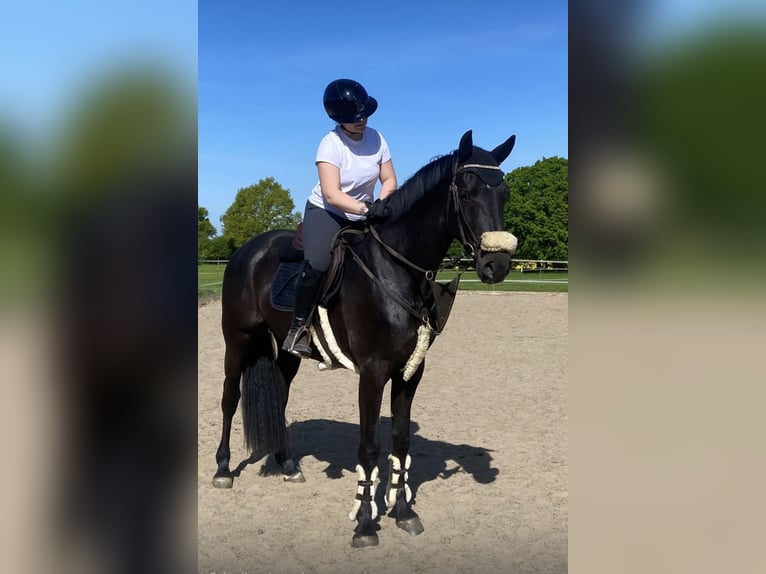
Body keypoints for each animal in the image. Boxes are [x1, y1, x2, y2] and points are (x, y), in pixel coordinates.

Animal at [212, 130, 518, 548]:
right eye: (468, 192)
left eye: (504, 193)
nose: (496, 265)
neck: (394, 270)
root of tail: (248, 250)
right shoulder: (372, 373)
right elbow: (370, 446)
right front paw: (364, 521)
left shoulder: (410, 372)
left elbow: (401, 441)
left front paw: (403, 511)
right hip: (237, 340)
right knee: (230, 398)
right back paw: (223, 469)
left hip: (286, 354)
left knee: (280, 398)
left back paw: (287, 463)